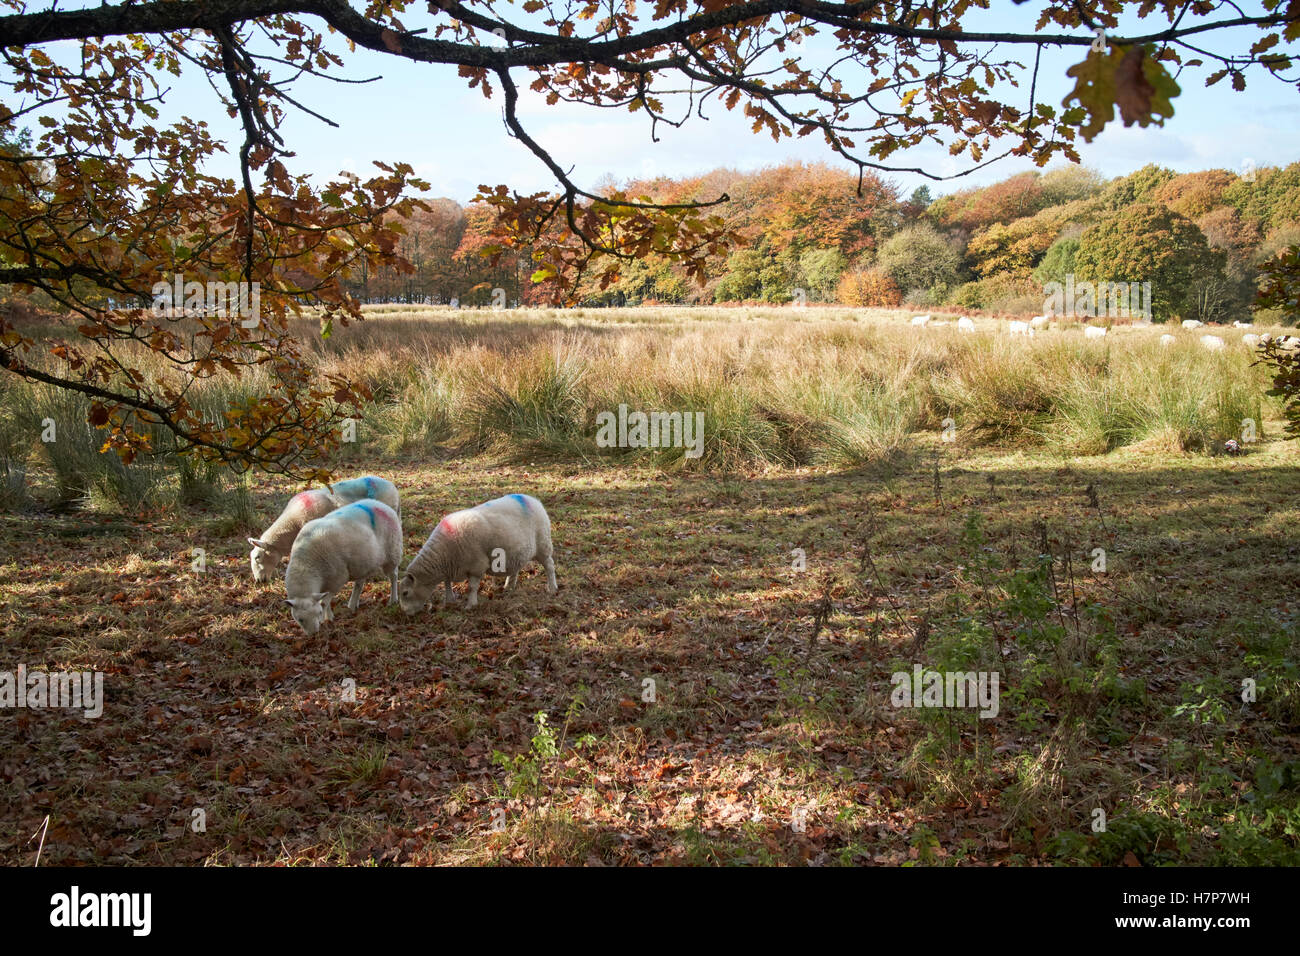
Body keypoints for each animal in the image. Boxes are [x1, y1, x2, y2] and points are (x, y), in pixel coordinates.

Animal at [283, 502, 400, 634]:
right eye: (300, 619)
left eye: (318, 613)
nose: (314, 634)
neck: (305, 564)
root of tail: (382, 505)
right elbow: (326, 601)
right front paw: (329, 617)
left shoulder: (337, 580)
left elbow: (324, 603)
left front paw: (326, 619)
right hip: (363, 563)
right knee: (359, 583)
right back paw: (352, 605)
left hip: (392, 553)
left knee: (394, 577)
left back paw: (393, 599)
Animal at [397, 494, 556, 613]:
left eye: (405, 593)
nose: (404, 613)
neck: (442, 556)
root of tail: (534, 500)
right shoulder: (450, 567)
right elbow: (447, 583)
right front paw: (449, 600)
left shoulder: (476, 566)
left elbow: (471, 587)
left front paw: (470, 605)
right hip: (516, 550)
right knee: (515, 568)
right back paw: (508, 587)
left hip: (543, 545)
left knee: (550, 566)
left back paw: (553, 588)